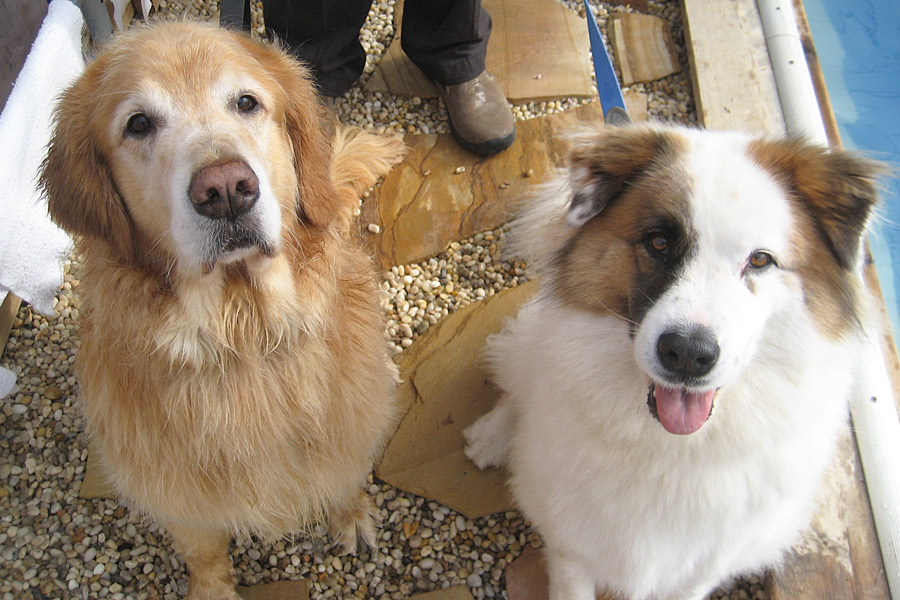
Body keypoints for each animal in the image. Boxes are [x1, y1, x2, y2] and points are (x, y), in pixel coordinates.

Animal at [41, 21, 404, 596]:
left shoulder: (347, 426)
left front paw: (350, 515)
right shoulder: (175, 490)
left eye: (246, 102)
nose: (227, 188)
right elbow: (202, 549)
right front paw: (212, 587)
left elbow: (345, 475)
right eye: (138, 124)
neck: (243, 335)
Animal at [468, 123, 884, 600]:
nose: (687, 354)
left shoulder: (701, 569)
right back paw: (490, 438)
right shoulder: (570, 541)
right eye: (659, 241)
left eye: (760, 260)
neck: (672, 449)